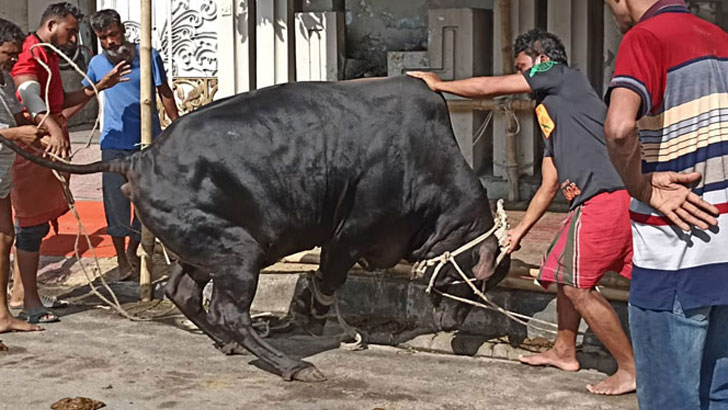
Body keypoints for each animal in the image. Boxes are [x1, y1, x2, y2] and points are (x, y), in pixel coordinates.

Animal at [1, 76, 512, 382]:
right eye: (476, 279)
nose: (452, 323)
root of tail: (139, 158)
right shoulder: (347, 236)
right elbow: (327, 278)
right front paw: (307, 315)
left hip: (205, 248)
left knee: (181, 291)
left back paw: (228, 343)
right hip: (240, 252)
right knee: (228, 310)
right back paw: (292, 364)